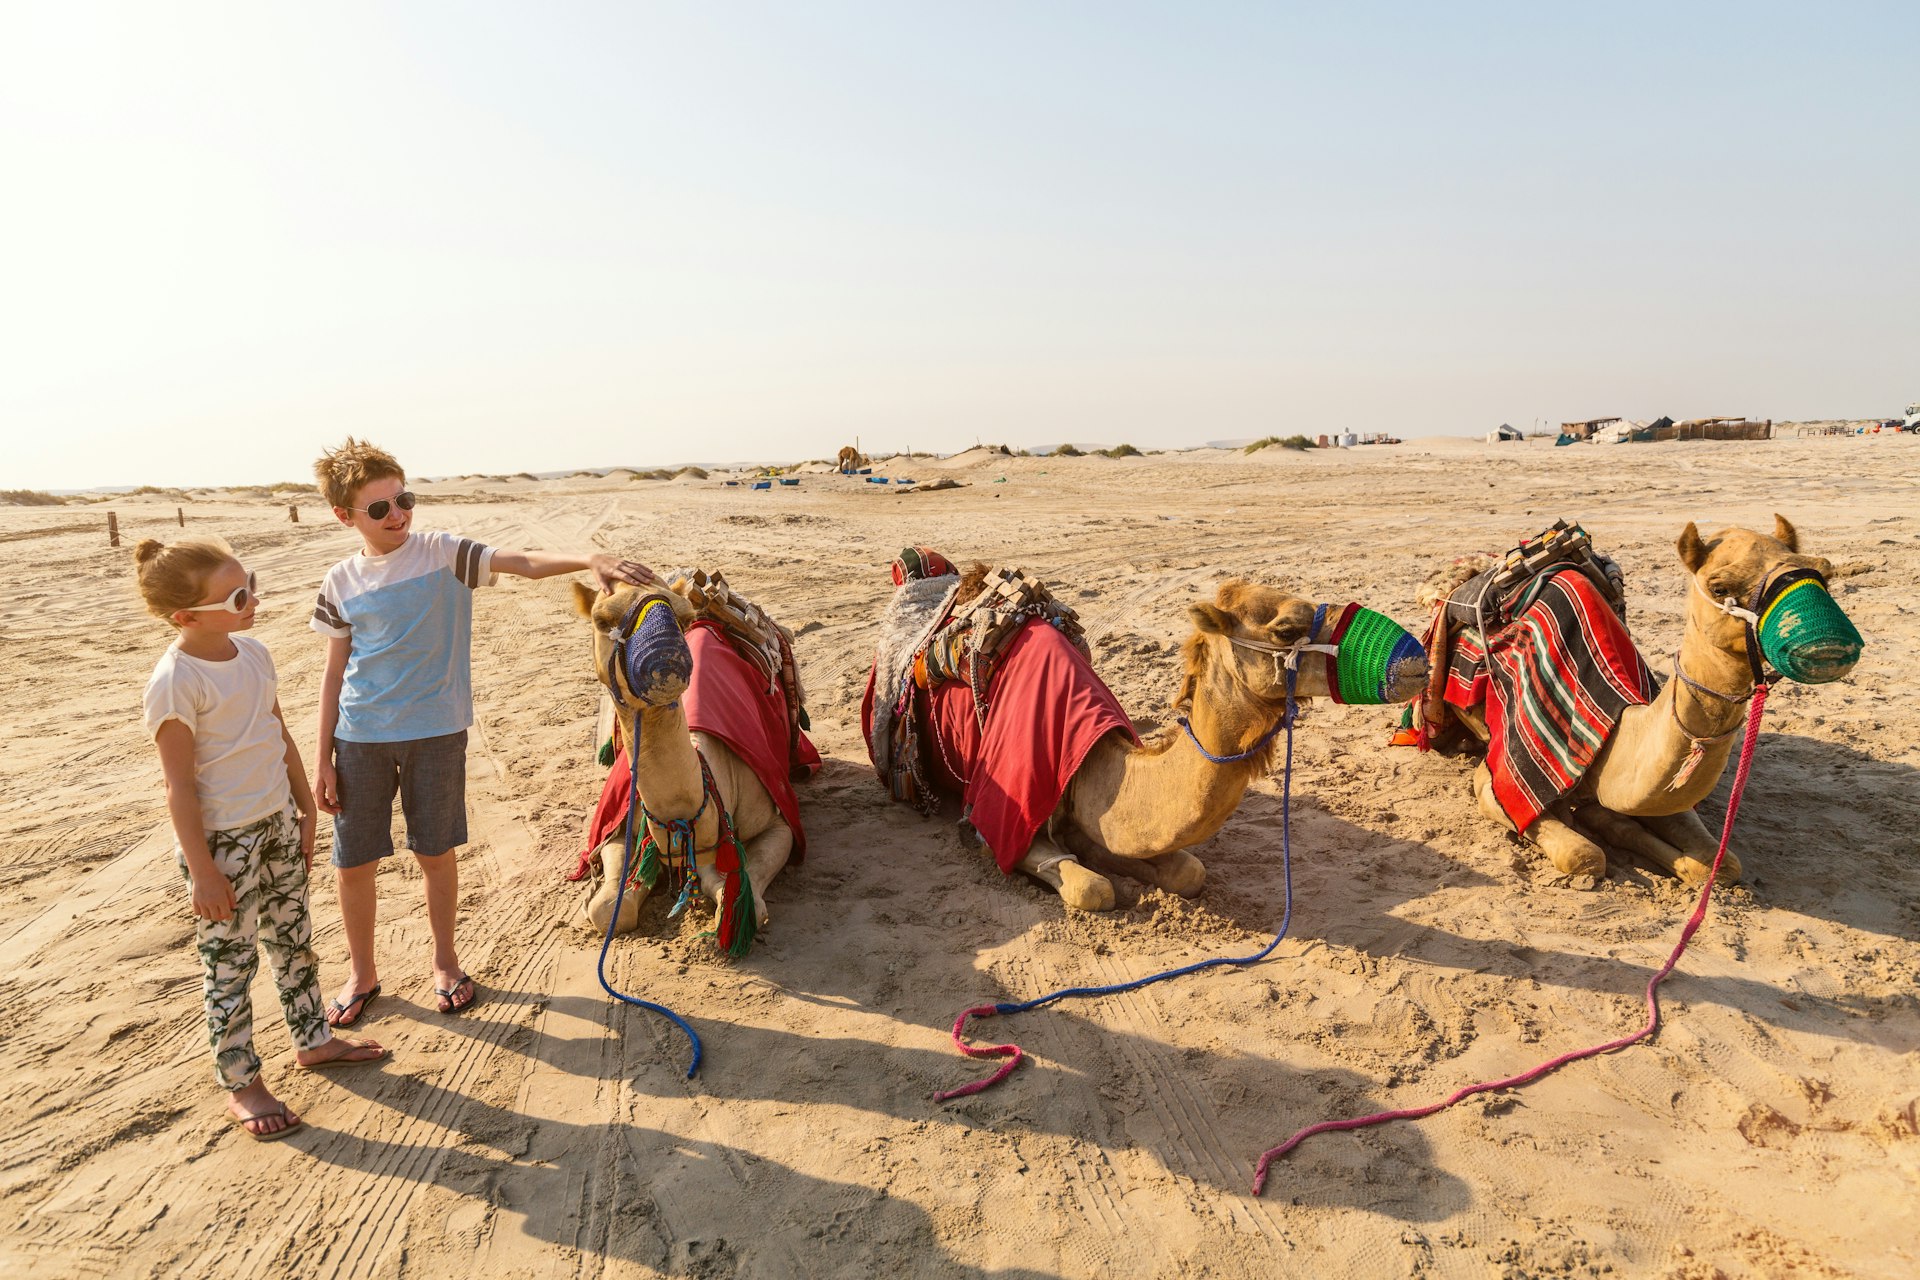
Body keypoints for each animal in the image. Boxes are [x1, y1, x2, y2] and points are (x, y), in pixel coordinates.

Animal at [576, 579, 802, 940]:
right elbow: (608, 907)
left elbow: (742, 899)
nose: (663, 655)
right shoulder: (618, 826)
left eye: (682, 617)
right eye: (601, 620)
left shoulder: (778, 824)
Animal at [879, 571, 1436, 909]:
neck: (1097, 763)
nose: (1414, 660)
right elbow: (1092, 889)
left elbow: (1186, 870)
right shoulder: (1002, 810)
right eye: (1285, 629)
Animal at [1443, 514, 1858, 886]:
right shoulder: (1501, 779)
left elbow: (1721, 865)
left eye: (1823, 574)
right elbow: (1585, 857)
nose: (1828, 644)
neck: (1616, 727)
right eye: (1719, 588)